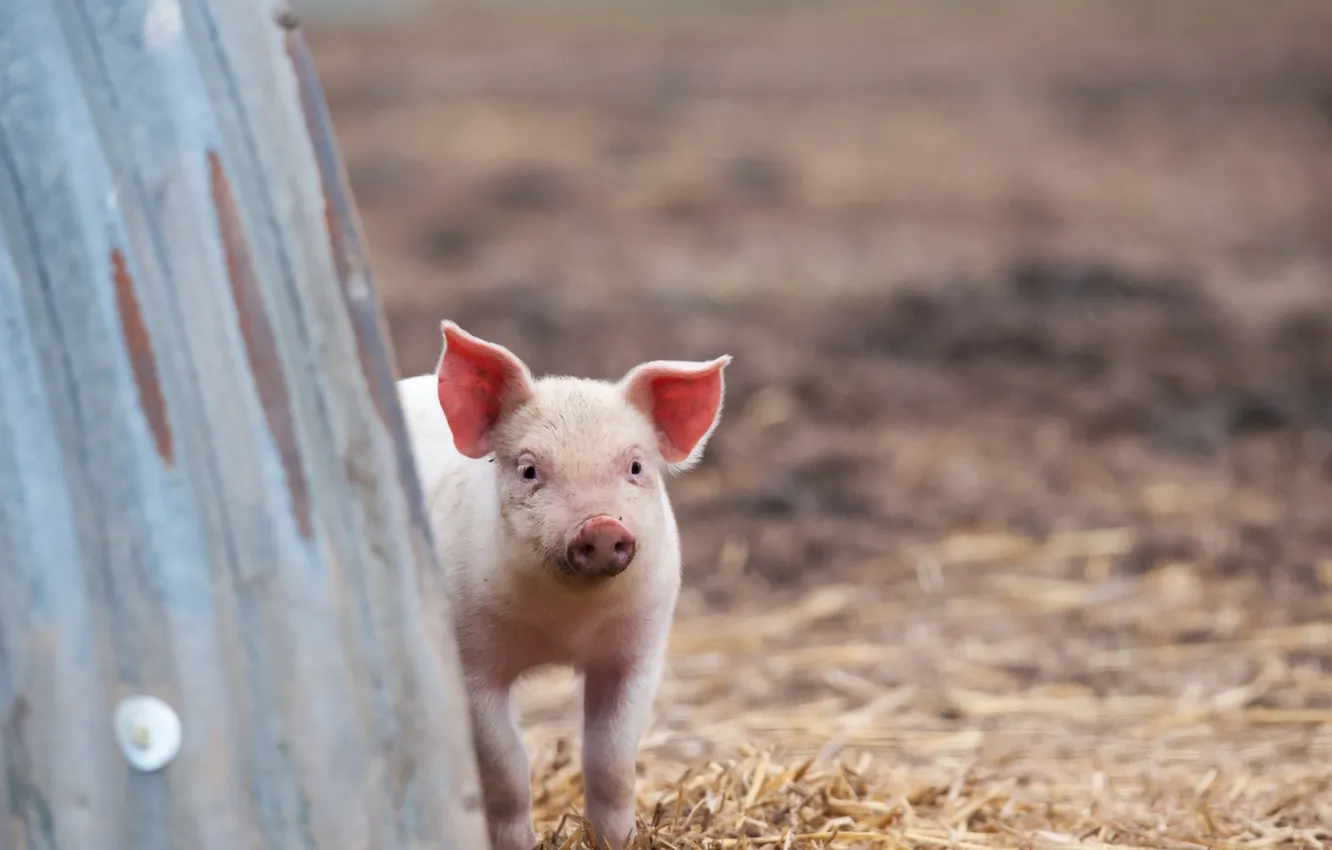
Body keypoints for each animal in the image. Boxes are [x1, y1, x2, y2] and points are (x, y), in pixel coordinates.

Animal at [396, 320, 731, 850]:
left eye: (636, 466)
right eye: (529, 469)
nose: (601, 526)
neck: (565, 628)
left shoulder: (639, 651)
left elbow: (610, 758)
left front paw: (619, 840)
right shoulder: (472, 662)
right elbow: (507, 764)